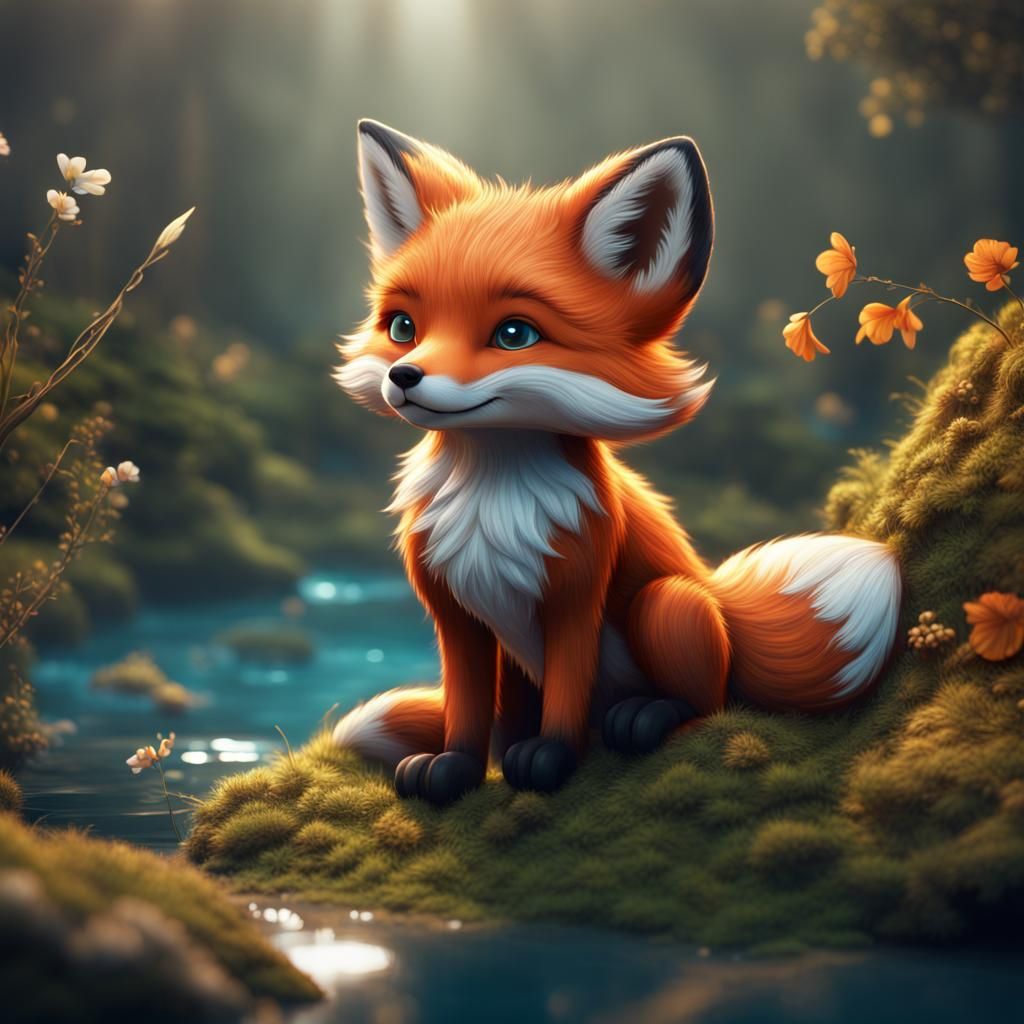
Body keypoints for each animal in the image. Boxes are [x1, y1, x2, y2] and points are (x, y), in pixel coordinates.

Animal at [332, 119, 902, 805]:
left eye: (514, 335)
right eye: (402, 327)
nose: (404, 376)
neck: (491, 503)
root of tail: (725, 608)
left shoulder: (577, 595)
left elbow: (567, 694)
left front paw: (550, 758)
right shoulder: (456, 614)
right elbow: (464, 709)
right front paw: (454, 768)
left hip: (667, 604)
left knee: (709, 704)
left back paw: (644, 717)